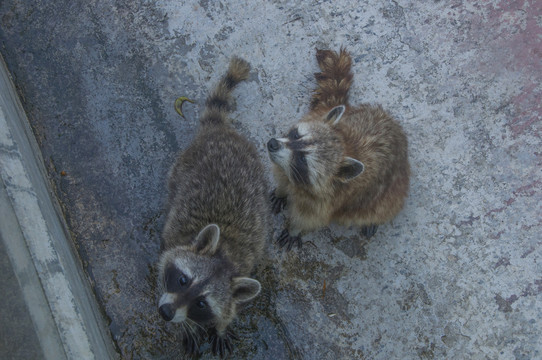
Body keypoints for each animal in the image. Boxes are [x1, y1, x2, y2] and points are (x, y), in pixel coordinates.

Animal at [159, 57, 272, 356]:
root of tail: (220, 130)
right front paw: (186, 327)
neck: (224, 254)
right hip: (180, 167)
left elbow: (229, 309)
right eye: (183, 280)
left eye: (201, 303)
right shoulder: (173, 244)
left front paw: (219, 326)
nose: (165, 312)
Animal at [268, 47, 412, 250]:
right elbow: (281, 180)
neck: (344, 142)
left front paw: (294, 230)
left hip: (393, 190)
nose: (272, 144)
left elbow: (307, 219)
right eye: (296, 135)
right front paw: (281, 191)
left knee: (380, 209)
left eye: (302, 159)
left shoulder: (326, 202)